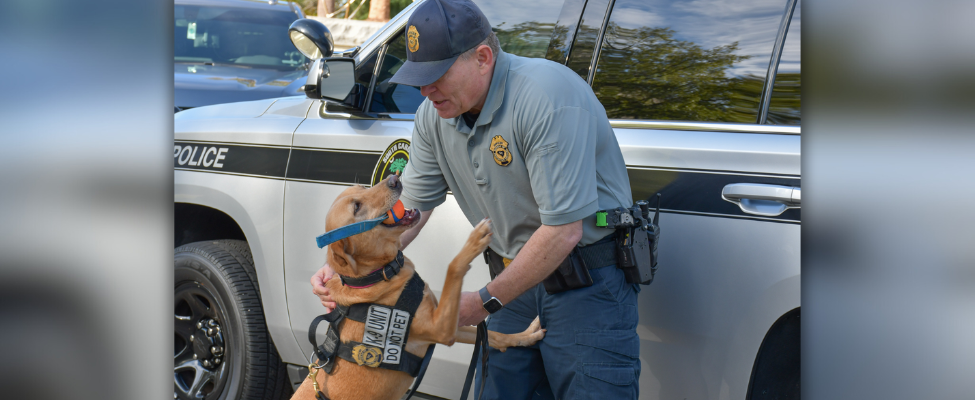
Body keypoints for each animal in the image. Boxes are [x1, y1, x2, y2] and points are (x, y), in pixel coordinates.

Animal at [294, 176, 544, 400]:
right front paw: (474, 240)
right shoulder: (441, 328)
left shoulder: (445, 325)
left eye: (362, 188)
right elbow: (453, 267)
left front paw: (525, 336)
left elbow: (496, 335)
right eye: (357, 207)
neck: (380, 274)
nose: (394, 179)